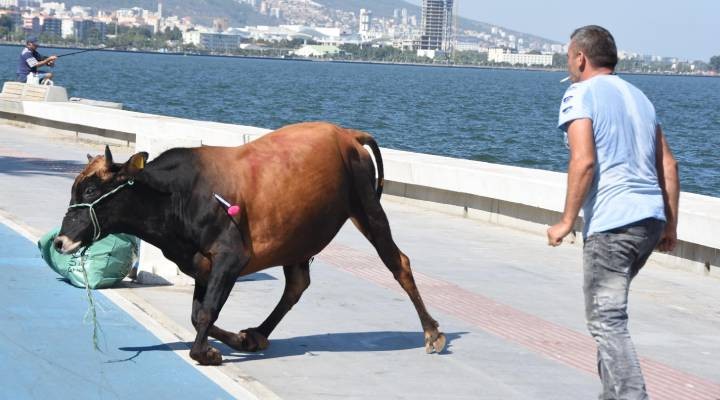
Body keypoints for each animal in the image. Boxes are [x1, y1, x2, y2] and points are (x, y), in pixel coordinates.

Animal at [56, 122, 448, 366]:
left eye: (90, 191)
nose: (60, 241)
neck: (174, 196)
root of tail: (346, 134)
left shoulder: (231, 257)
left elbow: (205, 313)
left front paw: (205, 353)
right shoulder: (201, 264)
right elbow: (198, 313)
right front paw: (233, 341)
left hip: (367, 208)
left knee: (399, 263)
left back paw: (431, 332)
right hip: (298, 234)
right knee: (297, 285)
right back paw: (256, 335)